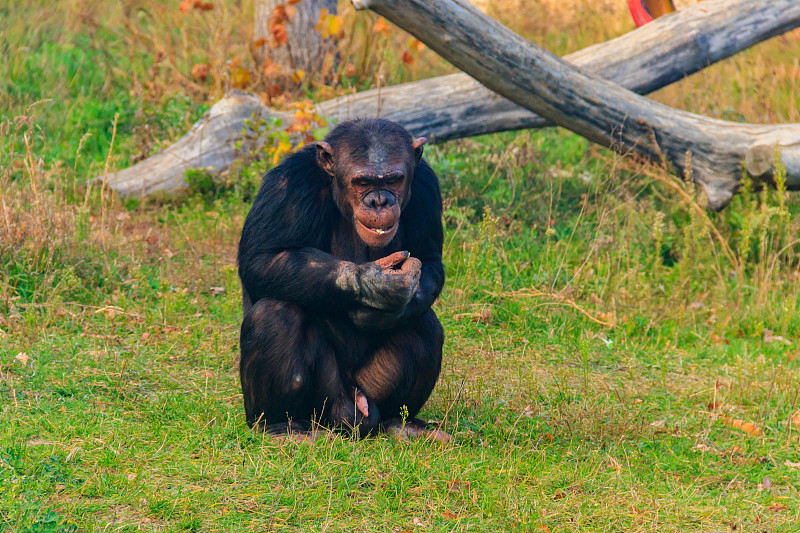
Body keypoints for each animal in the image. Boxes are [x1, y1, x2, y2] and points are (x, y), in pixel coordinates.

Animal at [238, 117, 450, 440]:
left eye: (393, 180)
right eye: (362, 182)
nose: (379, 201)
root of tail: (352, 409)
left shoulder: (426, 184)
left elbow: (429, 259)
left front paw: (388, 309)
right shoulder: (288, 185)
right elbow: (262, 258)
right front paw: (376, 284)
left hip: (371, 389)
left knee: (424, 323)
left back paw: (401, 423)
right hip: (325, 402)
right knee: (275, 314)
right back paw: (281, 426)